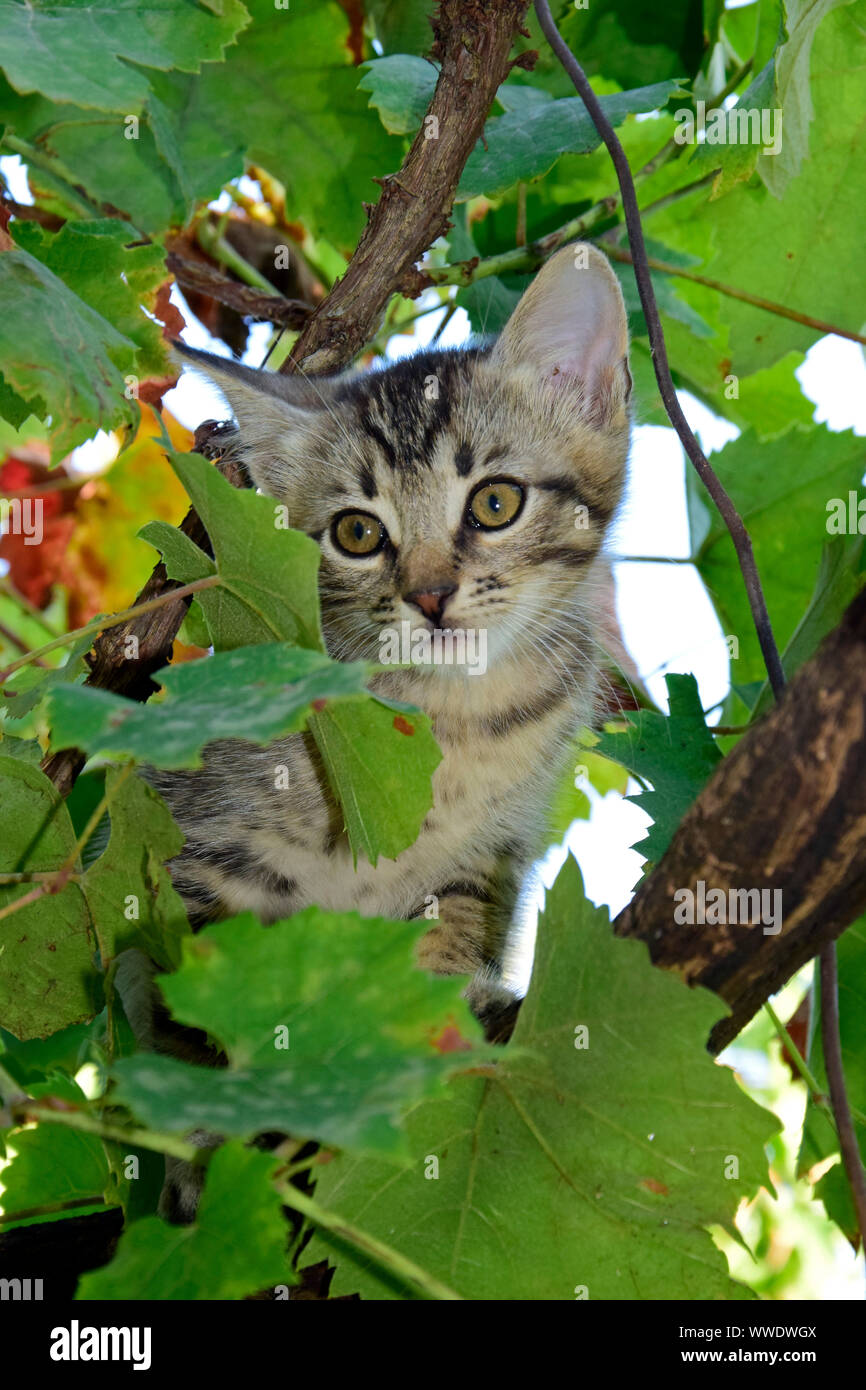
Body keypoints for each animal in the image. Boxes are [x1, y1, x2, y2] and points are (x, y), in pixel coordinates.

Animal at [127, 244, 631, 1223]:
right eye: (358, 533)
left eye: (496, 503)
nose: (431, 596)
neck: (454, 725)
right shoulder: (199, 848)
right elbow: (202, 1004)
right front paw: (210, 1138)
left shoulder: (483, 854)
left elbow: (443, 940)